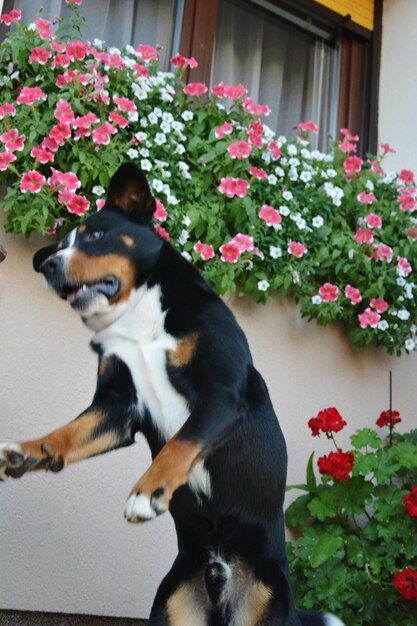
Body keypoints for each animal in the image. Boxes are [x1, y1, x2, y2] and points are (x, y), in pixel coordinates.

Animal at [0, 163, 344, 620]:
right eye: (62, 245)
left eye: (96, 234)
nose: (50, 265)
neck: (139, 318)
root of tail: (219, 574)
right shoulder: (118, 407)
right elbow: (69, 433)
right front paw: (27, 451)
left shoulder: (220, 394)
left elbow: (181, 442)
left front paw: (147, 493)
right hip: (172, 606)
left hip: (267, 605)